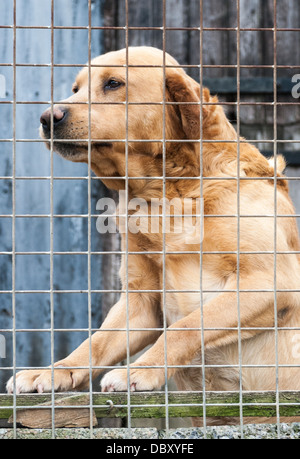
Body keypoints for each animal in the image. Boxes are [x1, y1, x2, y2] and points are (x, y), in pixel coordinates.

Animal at [5, 46, 300, 424]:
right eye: (75, 88)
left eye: (113, 83)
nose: (46, 117)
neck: (168, 192)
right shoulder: (142, 301)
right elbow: (95, 343)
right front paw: (55, 370)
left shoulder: (271, 282)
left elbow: (187, 326)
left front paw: (140, 370)